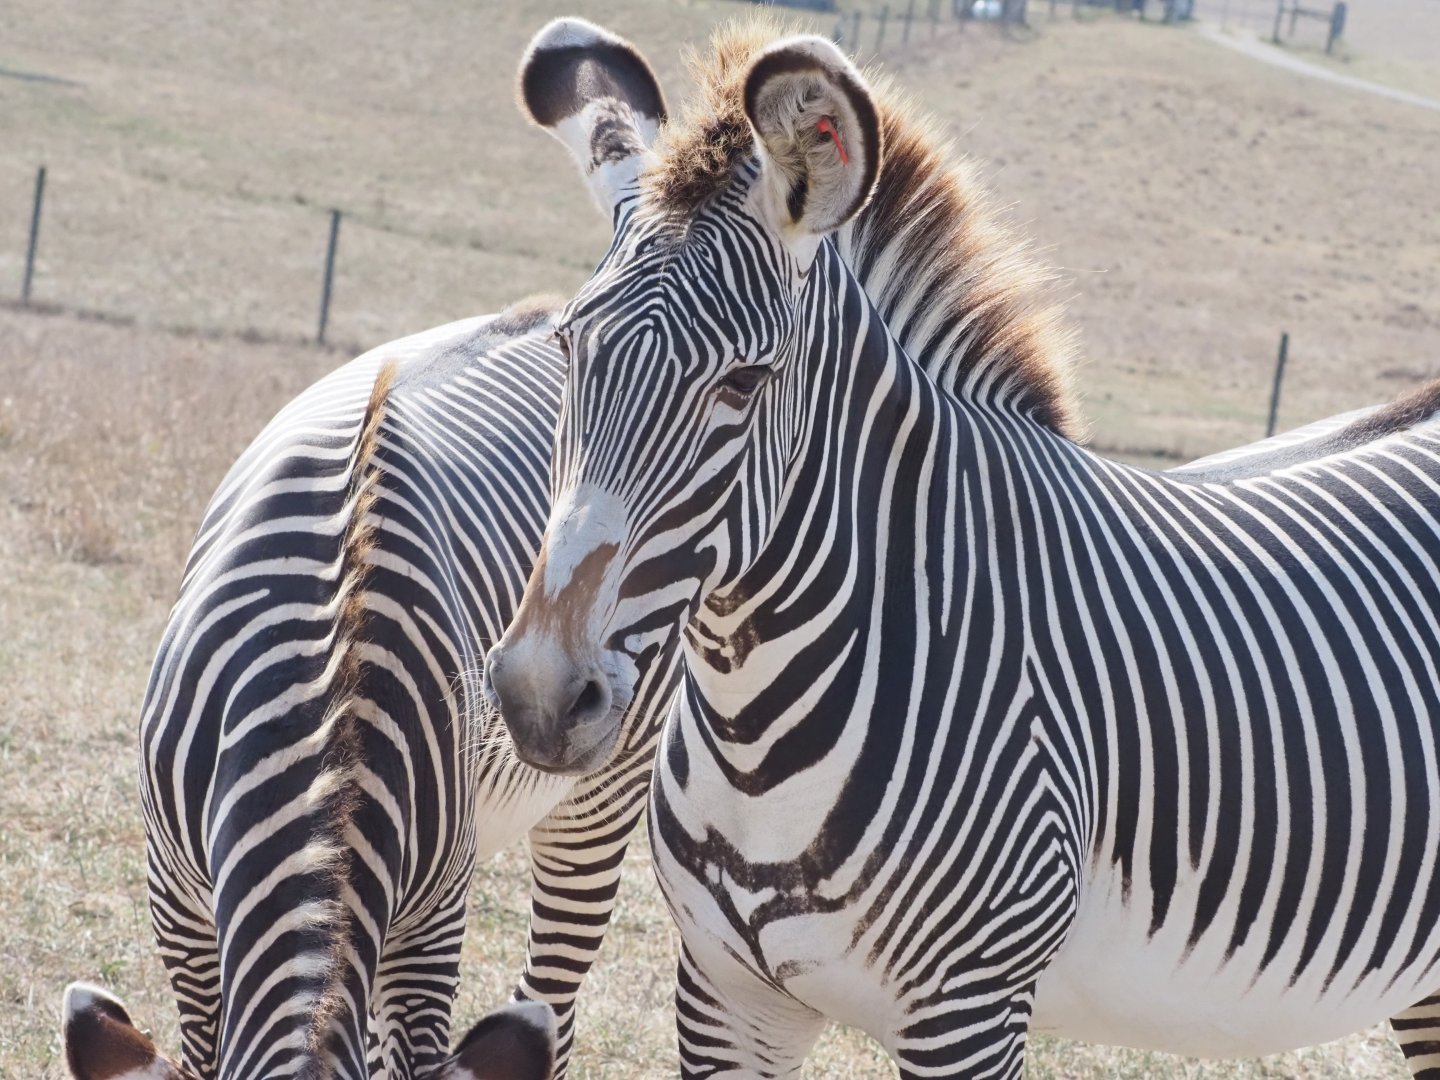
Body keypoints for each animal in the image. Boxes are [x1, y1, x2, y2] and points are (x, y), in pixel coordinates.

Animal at [61, 27, 676, 1074]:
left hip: (601, 783)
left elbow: (420, 1043)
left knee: (553, 996)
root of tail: (547, 312)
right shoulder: (176, 892)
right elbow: (201, 1031)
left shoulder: (431, 915)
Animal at [484, 18, 1440, 1080]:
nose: (538, 695)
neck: (756, 733)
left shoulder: (968, 1014)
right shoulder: (726, 994)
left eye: (743, 383)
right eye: (569, 350)